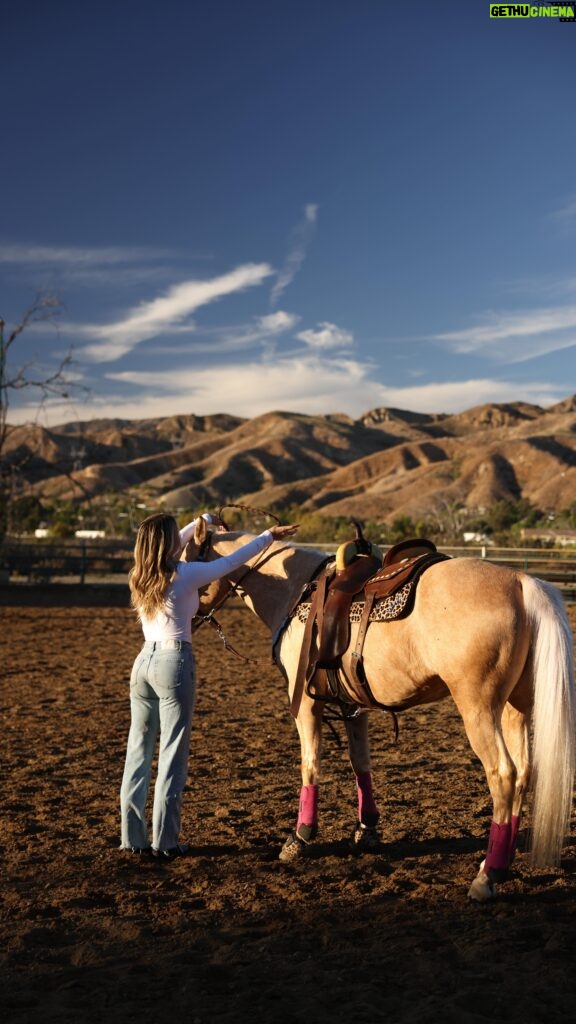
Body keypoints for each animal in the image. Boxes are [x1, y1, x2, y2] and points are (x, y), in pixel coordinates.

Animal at [189, 520, 573, 905]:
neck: (296, 590)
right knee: (523, 774)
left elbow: (310, 765)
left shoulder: (307, 704)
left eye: (186, 559)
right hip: (514, 708)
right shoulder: (353, 706)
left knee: (504, 775)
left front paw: (300, 836)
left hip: (478, 708)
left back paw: (486, 875)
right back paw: (500, 862)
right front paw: (367, 829)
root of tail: (519, 582)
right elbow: (361, 764)